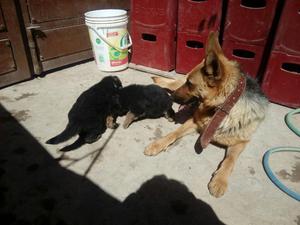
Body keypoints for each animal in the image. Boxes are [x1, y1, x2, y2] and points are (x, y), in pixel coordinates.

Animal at [144, 31, 268, 197]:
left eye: (190, 84)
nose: (172, 97)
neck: (221, 109)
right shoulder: (194, 121)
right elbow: (174, 133)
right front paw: (157, 144)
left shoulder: (241, 142)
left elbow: (230, 160)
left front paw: (220, 180)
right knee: (173, 83)